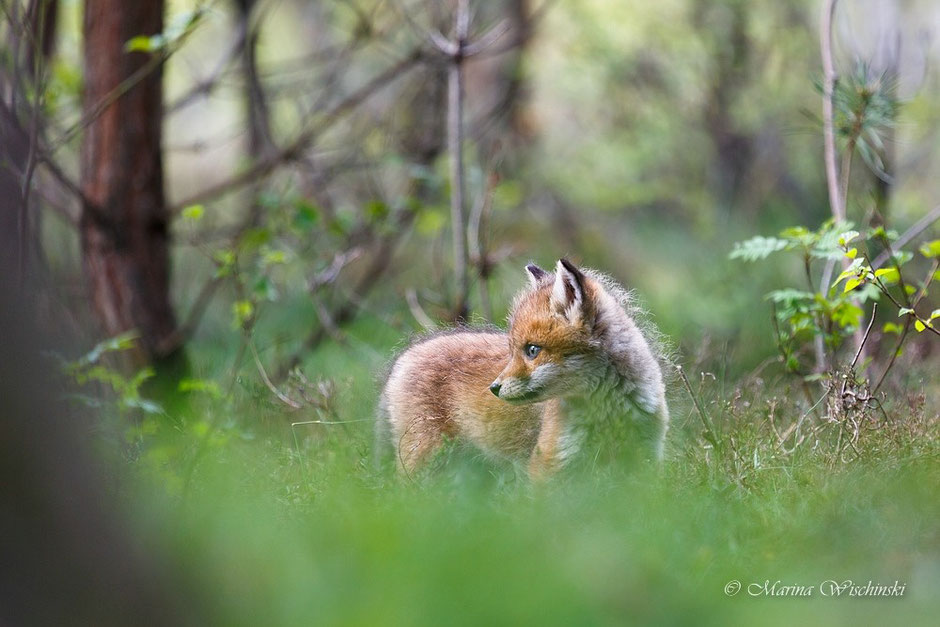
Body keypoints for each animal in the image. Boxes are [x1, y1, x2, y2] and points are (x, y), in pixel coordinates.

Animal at [374, 260, 668, 480]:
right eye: (513, 350)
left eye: (532, 350)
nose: (493, 388)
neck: (607, 411)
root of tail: (404, 356)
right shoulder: (548, 465)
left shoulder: (643, 461)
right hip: (427, 461)